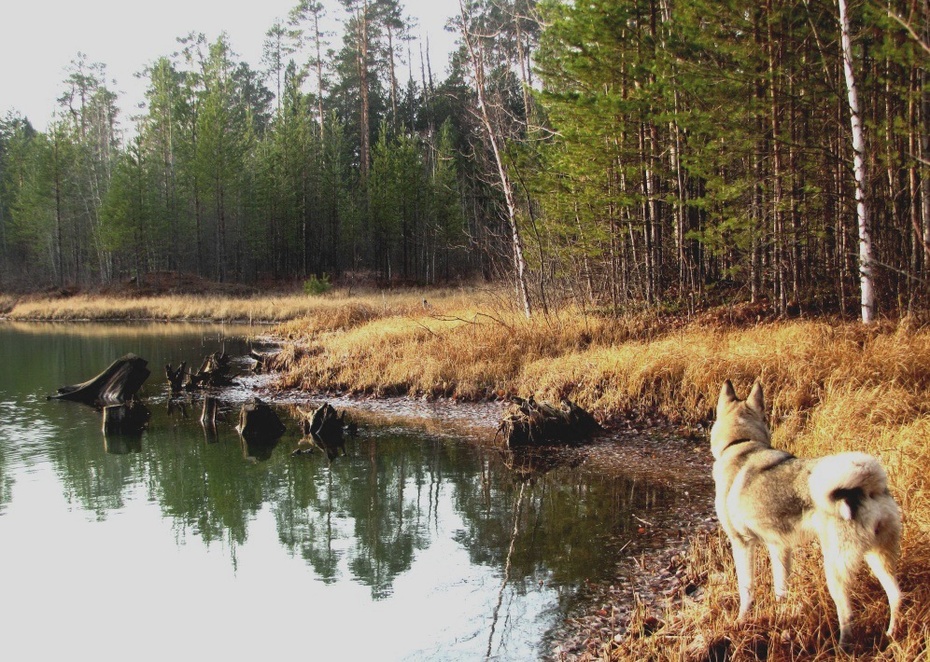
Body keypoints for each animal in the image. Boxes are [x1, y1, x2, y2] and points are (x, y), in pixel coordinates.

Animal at [712, 382, 900, 652]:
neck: (741, 443)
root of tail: (868, 488)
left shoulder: (742, 544)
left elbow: (746, 590)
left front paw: (741, 621)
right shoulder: (779, 547)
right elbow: (781, 588)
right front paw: (781, 615)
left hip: (835, 569)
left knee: (847, 614)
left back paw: (841, 647)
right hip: (878, 558)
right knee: (896, 596)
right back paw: (892, 635)